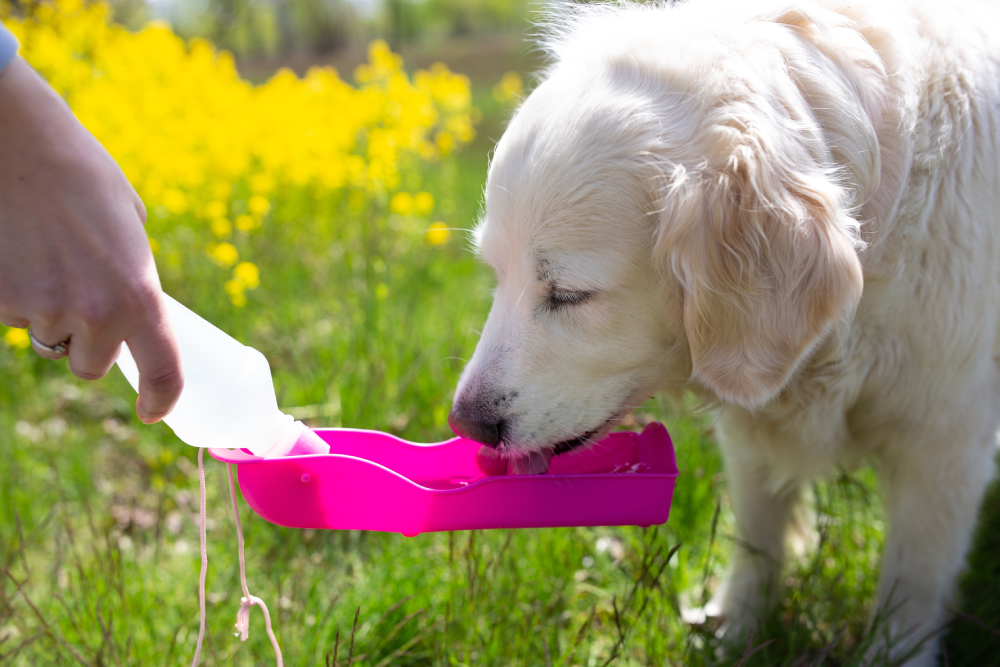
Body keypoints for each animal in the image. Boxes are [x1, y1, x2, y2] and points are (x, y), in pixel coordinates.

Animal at [450, 1, 1000, 664]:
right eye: (496, 273)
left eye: (569, 294)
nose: (467, 423)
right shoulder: (753, 436)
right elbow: (758, 538)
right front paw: (735, 630)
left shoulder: (944, 445)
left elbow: (913, 580)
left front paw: (892, 654)